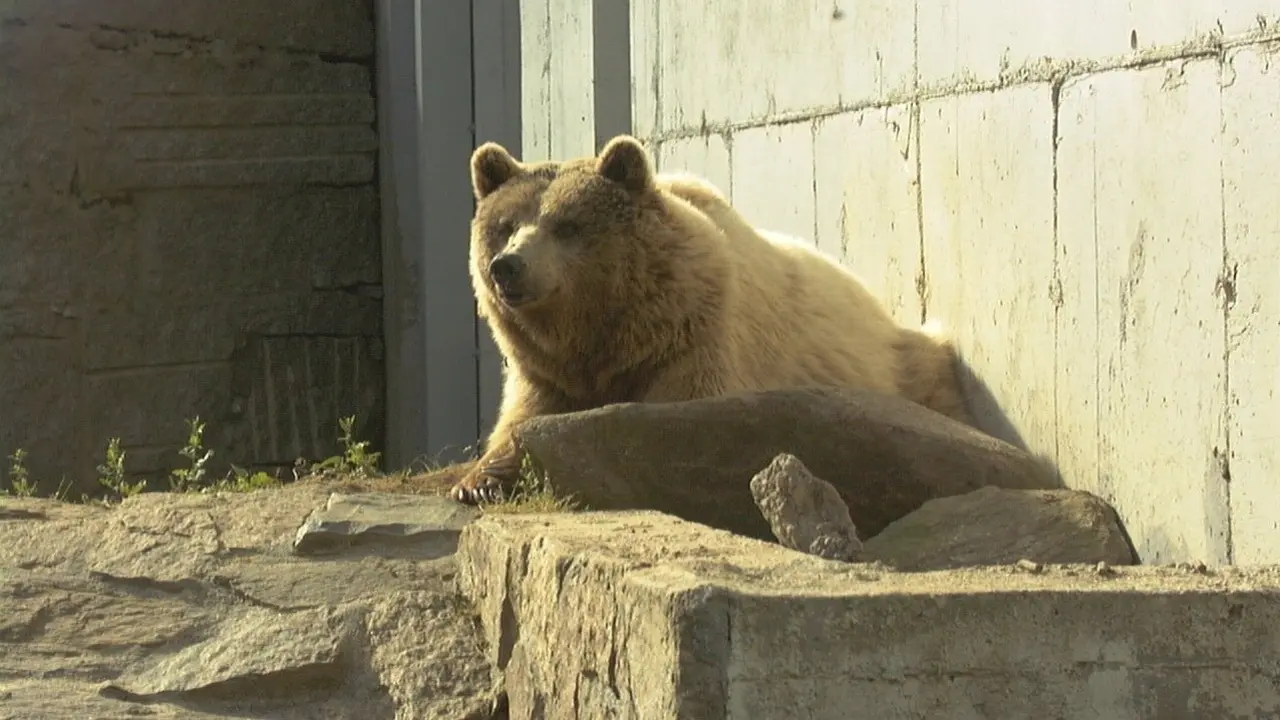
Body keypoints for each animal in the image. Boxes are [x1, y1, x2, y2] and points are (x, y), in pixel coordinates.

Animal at [450, 134, 974, 504]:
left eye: (566, 225)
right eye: (505, 226)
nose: (508, 266)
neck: (606, 331)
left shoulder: (695, 340)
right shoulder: (547, 368)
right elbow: (521, 418)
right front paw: (478, 480)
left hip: (903, 367)